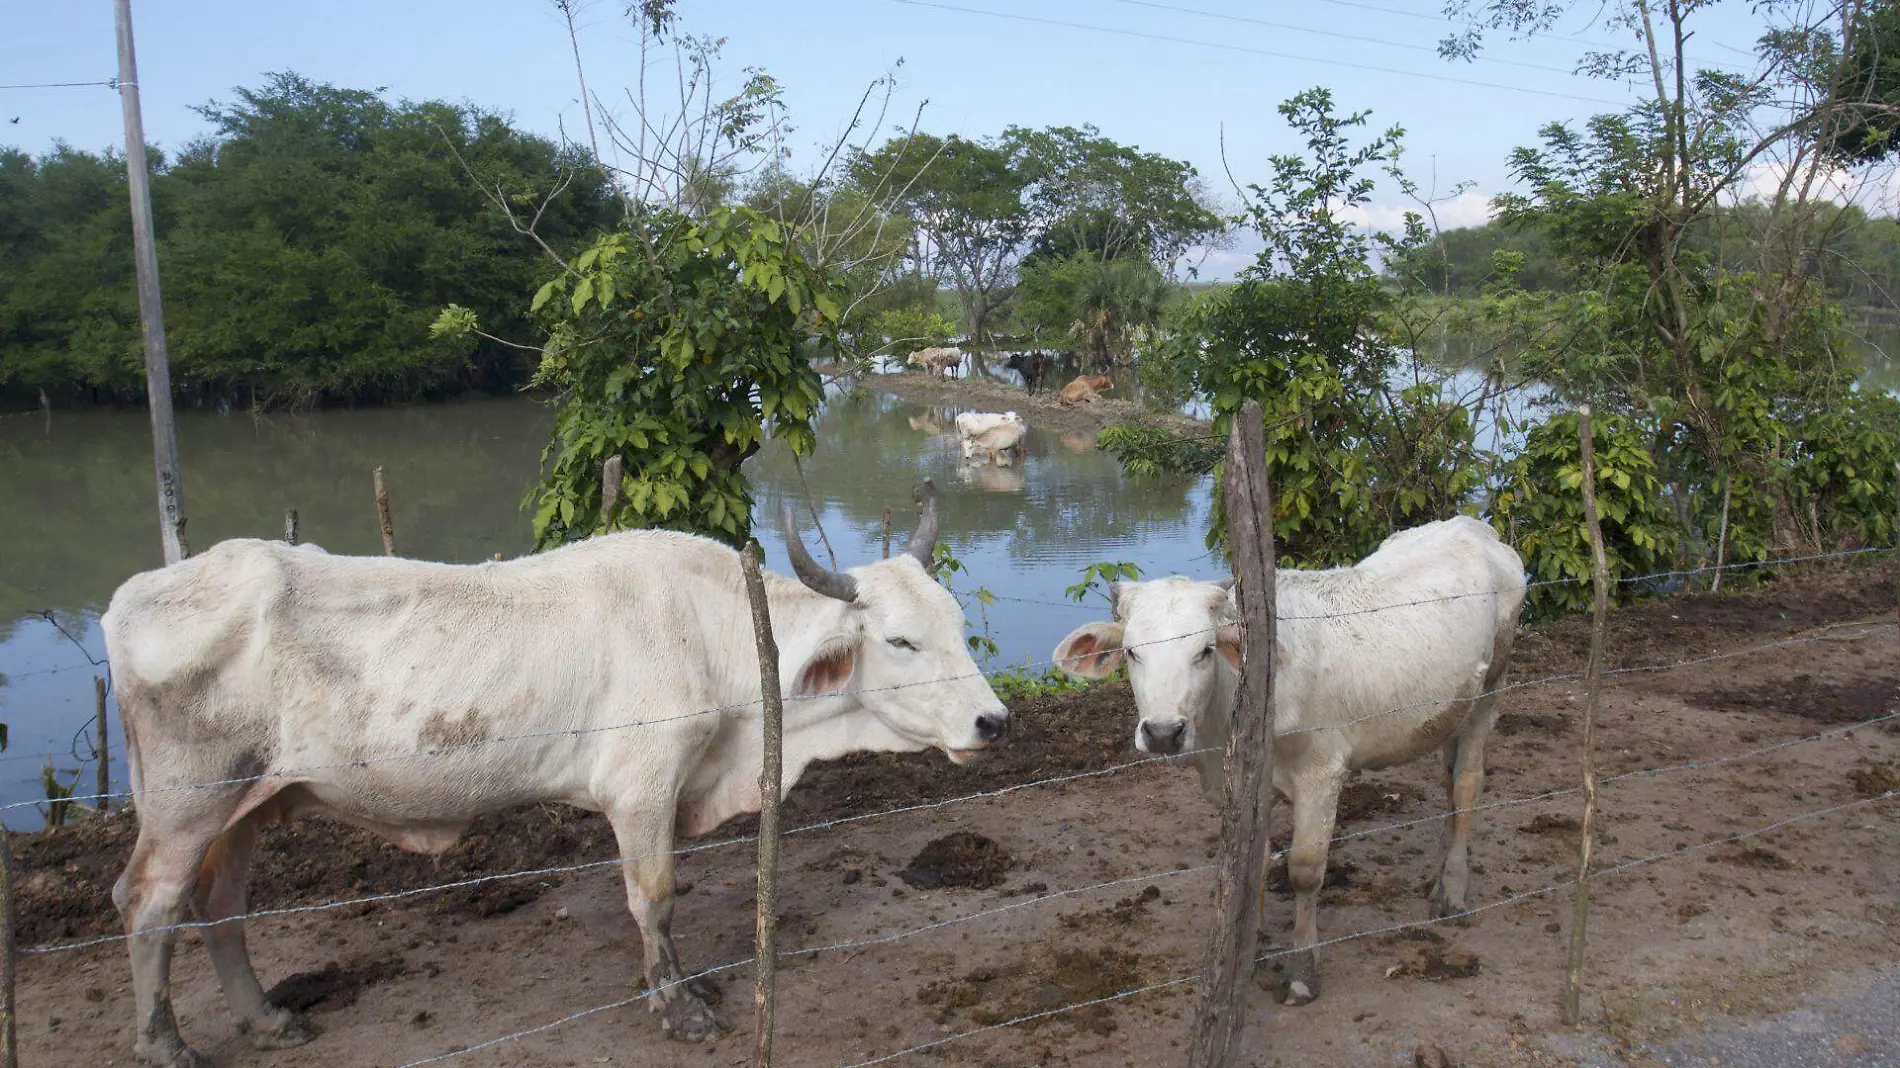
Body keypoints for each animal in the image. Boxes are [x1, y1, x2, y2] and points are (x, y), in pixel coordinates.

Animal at [100, 484, 1010, 1064]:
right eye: (899, 641)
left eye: (954, 623)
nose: (991, 723)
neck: (717, 634)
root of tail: (143, 588)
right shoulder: (642, 788)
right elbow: (655, 898)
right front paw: (678, 1007)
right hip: (186, 803)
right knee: (148, 905)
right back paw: (165, 1045)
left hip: (249, 804)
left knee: (218, 905)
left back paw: (265, 1018)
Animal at [1048, 516, 1520, 1003]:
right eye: (1132, 652)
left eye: (1205, 650)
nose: (1162, 732)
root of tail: (1471, 526)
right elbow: (1254, 863)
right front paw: (1248, 950)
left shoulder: (1321, 774)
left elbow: (1305, 871)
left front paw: (1301, 970)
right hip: (1451, 710)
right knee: (1449, 784)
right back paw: (1437, 875)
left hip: (1491, 690)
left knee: (1466, 786)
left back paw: (1453, 890)